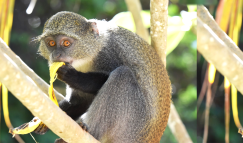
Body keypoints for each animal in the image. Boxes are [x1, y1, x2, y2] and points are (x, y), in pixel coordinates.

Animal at [33, 11, 171, 143]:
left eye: (66, 43)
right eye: (51, 43)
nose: (56, 55)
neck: (89, 55)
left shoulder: (110, 52)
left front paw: (72, 76)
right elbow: (80, 101)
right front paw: (42, 122)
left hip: (134, 128)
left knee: (123, 75)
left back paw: (91, 133)